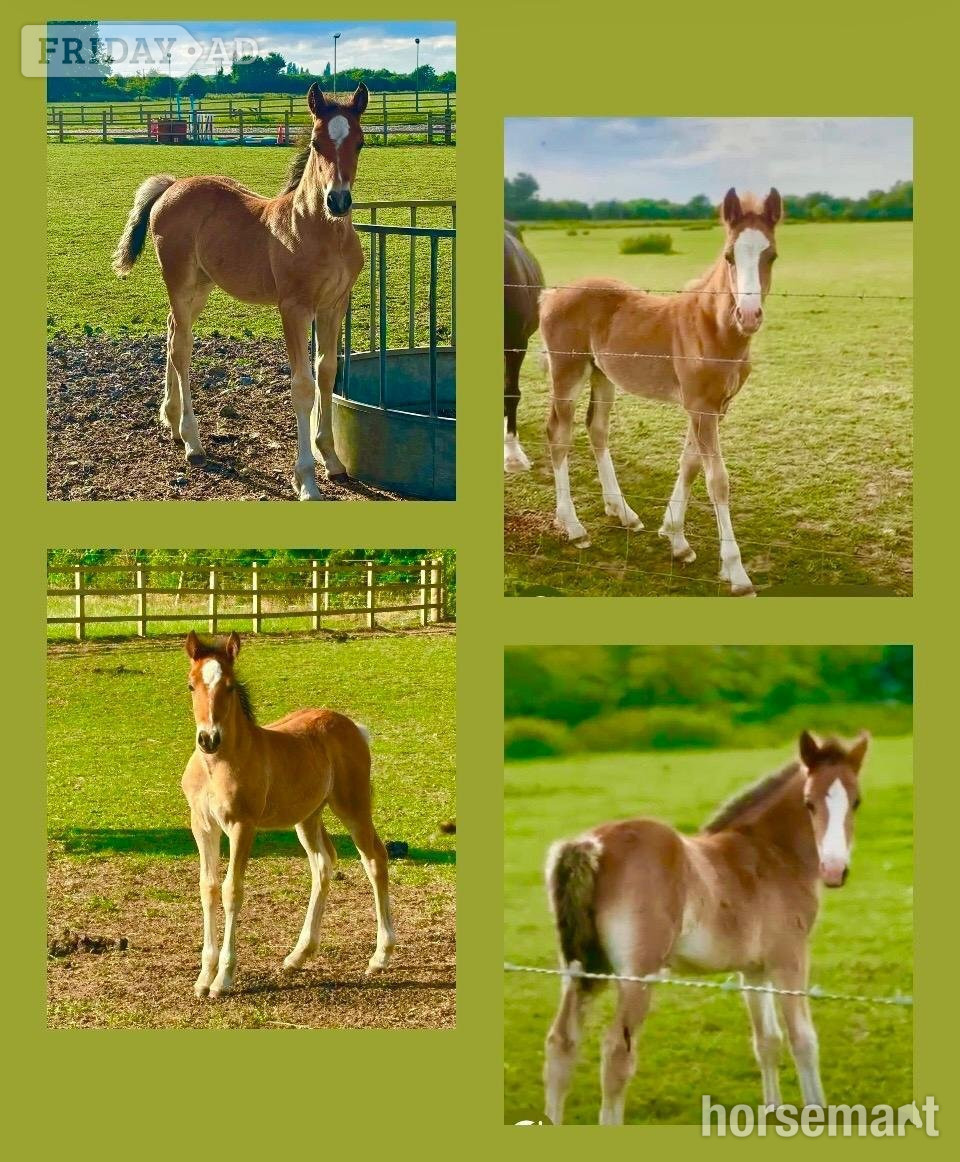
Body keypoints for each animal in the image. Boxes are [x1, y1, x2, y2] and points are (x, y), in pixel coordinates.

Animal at [111, 83, 368, 501]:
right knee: (181, 347)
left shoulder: (334, 305)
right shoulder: (294, 308)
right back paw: (192, 441)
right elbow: (302, 386)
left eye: (360, 142)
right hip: (179, 282)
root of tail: (172, 186)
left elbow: (327, 372)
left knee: (171, 332)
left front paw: (331, 459)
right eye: (317, 143)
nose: (338, 200)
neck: (316, 228)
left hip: (200, 287)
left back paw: (170, 419)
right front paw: (306, 479)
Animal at [180, 631, 395, 998]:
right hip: (307, 817)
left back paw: (380, 957)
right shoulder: (203, 826)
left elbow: (231, 890)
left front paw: (223, 979)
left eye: (230, 686)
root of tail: (352, 726)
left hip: (353, 807)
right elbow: (208, 889)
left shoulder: (242, 826)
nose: (208, 739)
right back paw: (298, 956)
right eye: (192, 685)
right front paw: (203, 977)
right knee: (323, 864)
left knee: (374, 860)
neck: (217, 765)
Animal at [538, 188, 782, 595]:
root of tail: (551, 294)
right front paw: (736, 572)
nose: (749, 315)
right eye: (729, 256)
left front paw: (675, 539)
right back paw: (574, 527)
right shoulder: (701, 407)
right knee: (559, 433)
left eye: (771, 255)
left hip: (602, 375)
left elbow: (690, 464)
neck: (712, 328)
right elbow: (717, 481)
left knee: (597, 429)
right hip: (567, 372)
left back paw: (623, 512)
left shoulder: (712, 407)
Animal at [542, 729, 869, 1124]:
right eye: (809, 803)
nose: (835, 870)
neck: (770, 854)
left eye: (856, 802)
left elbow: (767, 1041)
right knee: (617, 1053)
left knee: (561, 1043)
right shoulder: (789, 959)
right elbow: (803, 1039)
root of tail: (592, 845)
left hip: (582, 970)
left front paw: (773, 1111)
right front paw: (817, 1113)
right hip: (637, 975)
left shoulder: (753, 970)